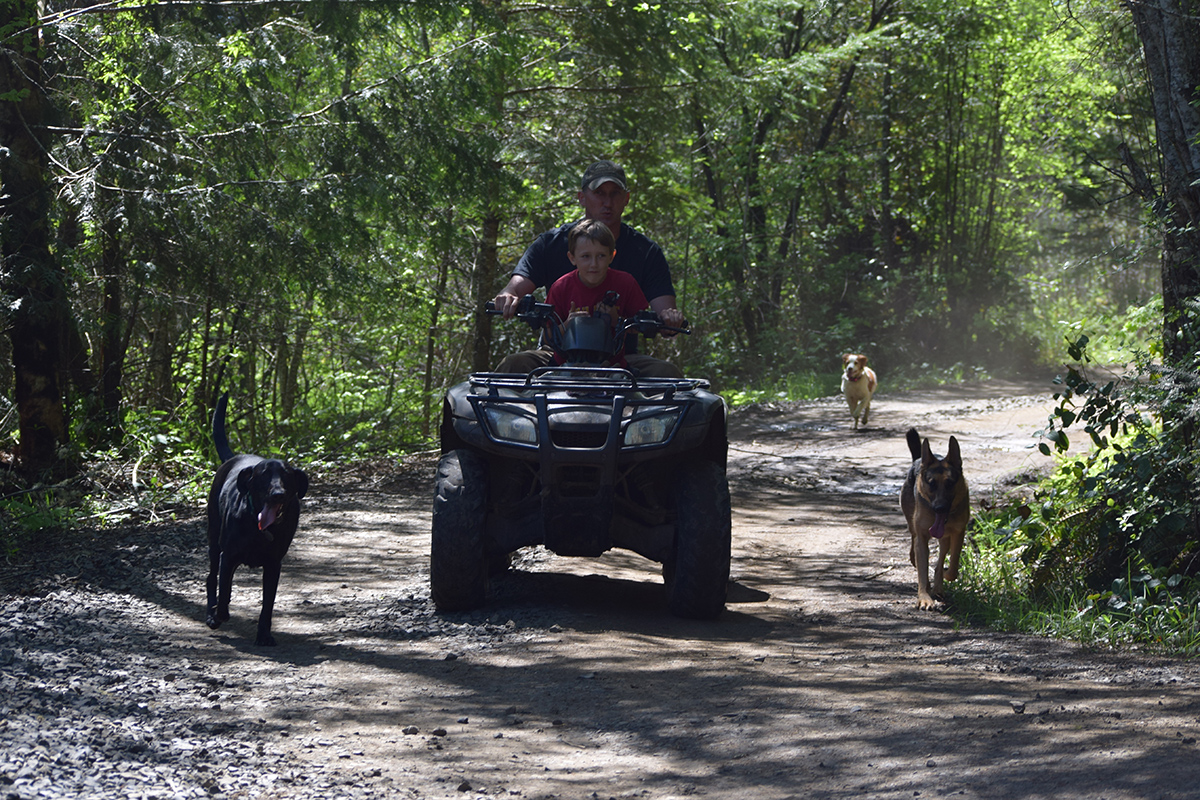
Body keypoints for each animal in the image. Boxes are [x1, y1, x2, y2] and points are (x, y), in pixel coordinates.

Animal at [207, 391, 309, 647]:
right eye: (263, 475)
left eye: (287, 476)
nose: (278, 493)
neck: (257, 526)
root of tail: (235, 457)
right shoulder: (227, 556)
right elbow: (224, 591)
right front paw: (220, 614)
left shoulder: (273, 565)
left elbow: (267, 605)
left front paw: (263, 635)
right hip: (214, 542)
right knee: (211, 578)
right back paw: (211, 615)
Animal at [902, 429, 964, 609]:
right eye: (931, 483)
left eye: (950, 483)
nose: (939, 508)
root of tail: (918, 459)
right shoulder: (922, 537)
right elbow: (922, 570)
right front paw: (924, 598)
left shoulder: (958, 532)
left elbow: (953, 565)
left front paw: (945, 576)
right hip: (914, 528)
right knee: (914, 551)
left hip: (945, 539)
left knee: (941, 558)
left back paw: (938, 587)